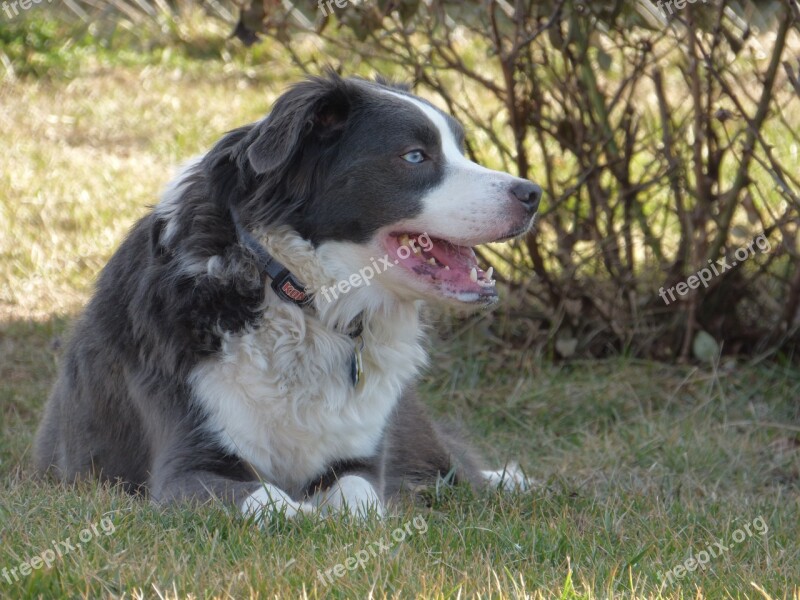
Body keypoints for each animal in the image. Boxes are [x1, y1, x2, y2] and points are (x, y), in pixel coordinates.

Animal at [32, 71, 544, 520]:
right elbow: (269, 498)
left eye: (460, 147)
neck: (298, 298)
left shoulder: (359, 458)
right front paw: (306, 515)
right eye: (416, 156)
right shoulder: (185, 467)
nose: (533, 193)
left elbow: (360, 499)